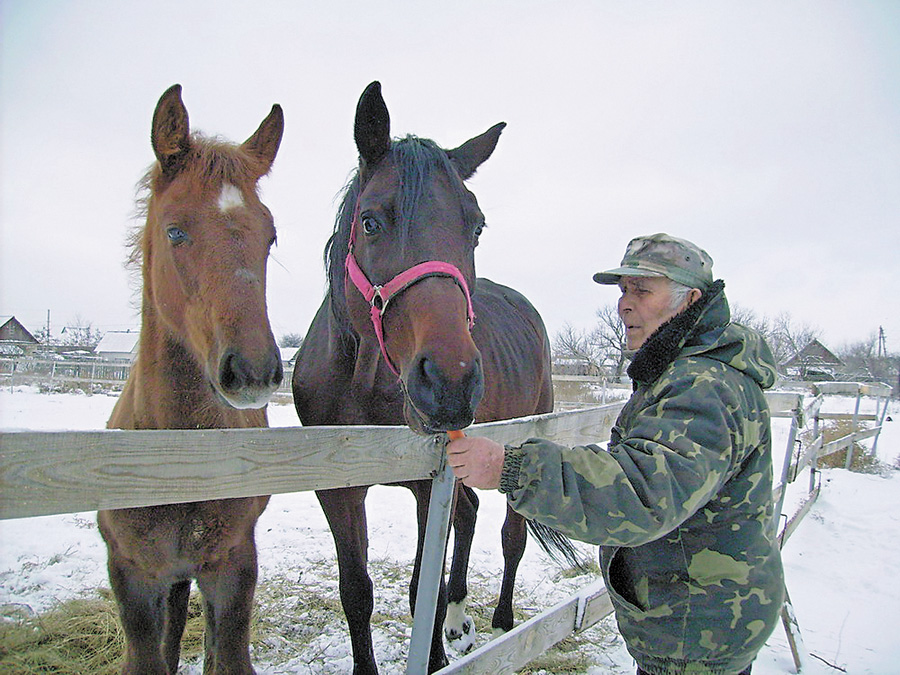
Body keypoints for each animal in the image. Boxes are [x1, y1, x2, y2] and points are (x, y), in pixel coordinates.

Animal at [98, 84, 284, 675]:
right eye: (175, 230)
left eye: (270, 237)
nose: (252, 371)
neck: (177, 463)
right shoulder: (132, 577)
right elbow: (150, 655)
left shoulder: (232, 567)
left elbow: (227, 655)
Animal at [294, 83, 564, 675]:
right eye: (371, 221)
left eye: (476, 225)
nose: (450, 382)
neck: (367, 384)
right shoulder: (338, 489)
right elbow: (356, 591)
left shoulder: (427, 484)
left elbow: (425, 585)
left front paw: (435, 654)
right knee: (470, 517)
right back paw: (461, 619)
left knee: (511, 536)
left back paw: (501, 622)